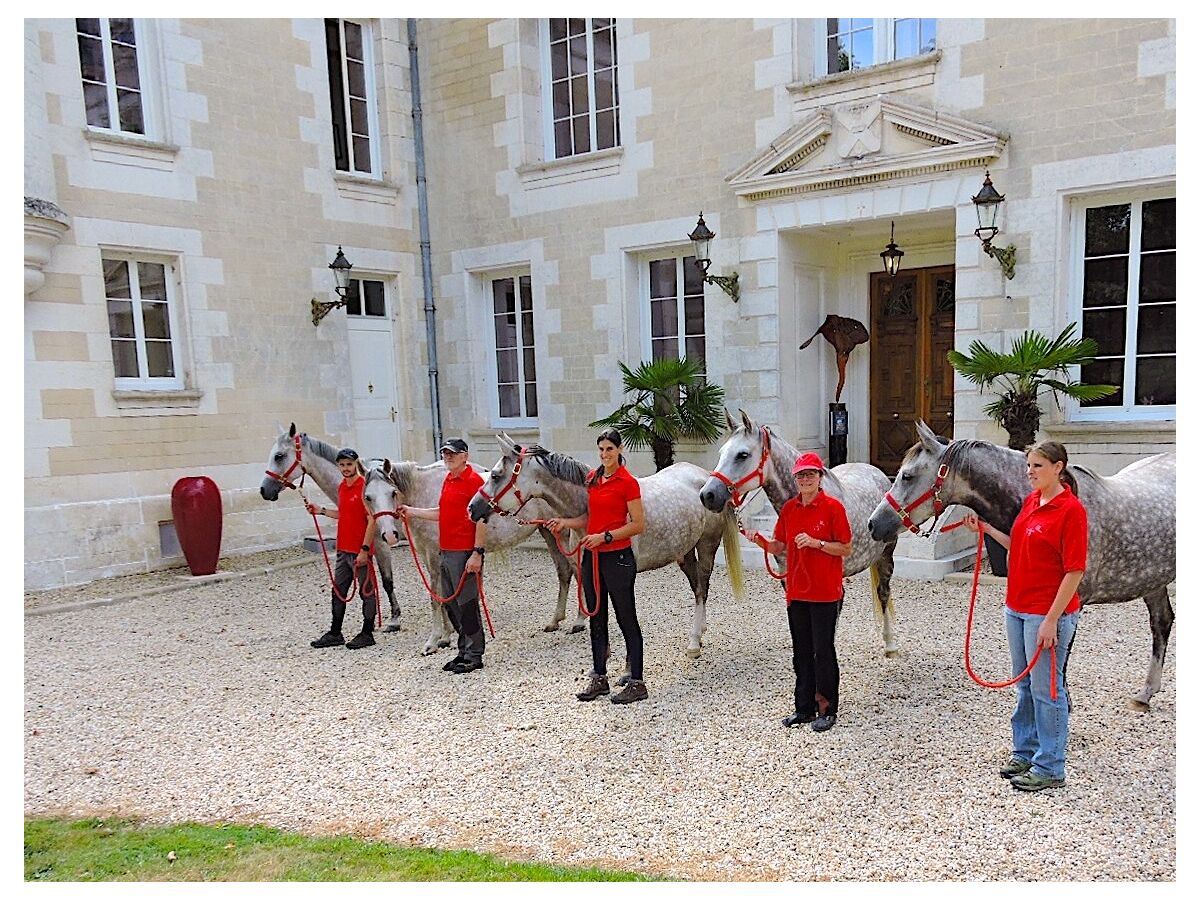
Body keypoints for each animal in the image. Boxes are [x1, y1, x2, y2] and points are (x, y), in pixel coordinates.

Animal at [362, 458, 583, 648]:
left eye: (392, 492)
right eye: (368, 497)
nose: (389, 535)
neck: (423, 493)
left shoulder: (435, 555)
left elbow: (436, 598)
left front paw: (433, 641)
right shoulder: (428, 557)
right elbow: (442, 596)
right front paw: (445, 637)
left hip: (561, 536)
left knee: (577, 570)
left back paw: (579, 621)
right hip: (548, 532)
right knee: (564, 572)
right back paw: (555, 621)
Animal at [465, 436, 739, 662]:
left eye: (496, 475)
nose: (472, 508)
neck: (590, 510)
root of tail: (706, 479)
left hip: (706, 546)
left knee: (702, 588)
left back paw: (694, 642)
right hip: (684, 552)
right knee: (698, 588)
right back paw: (700, 632)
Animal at [696, 412, 902, 657]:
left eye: (742, 455)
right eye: (721, 453)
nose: (707, 495)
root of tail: (877, 473)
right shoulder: (789, 579)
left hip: (886, 555)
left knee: (883, 592)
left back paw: (890, 644)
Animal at [868, 422, 1176, 710]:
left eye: (908, 476)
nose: (874, 524)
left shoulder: (1066, 609)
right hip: (1152, 579)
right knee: (1162, 622)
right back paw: (1145, 694)